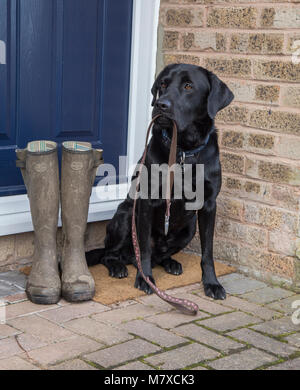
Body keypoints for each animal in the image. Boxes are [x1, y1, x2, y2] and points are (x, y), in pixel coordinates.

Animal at [86, 64, 234, 300]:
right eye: (162, 85)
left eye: (188, 86)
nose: (160, 105)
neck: (183, 150)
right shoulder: (147, 201)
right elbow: (144, 247)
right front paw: (144, 279)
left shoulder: (209, 205)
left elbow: (208, 251)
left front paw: (212, 283)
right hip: (126, 215)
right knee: (111, 254)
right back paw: (118, 267)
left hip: (190, 227)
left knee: (159, 255)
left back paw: (170, 263)